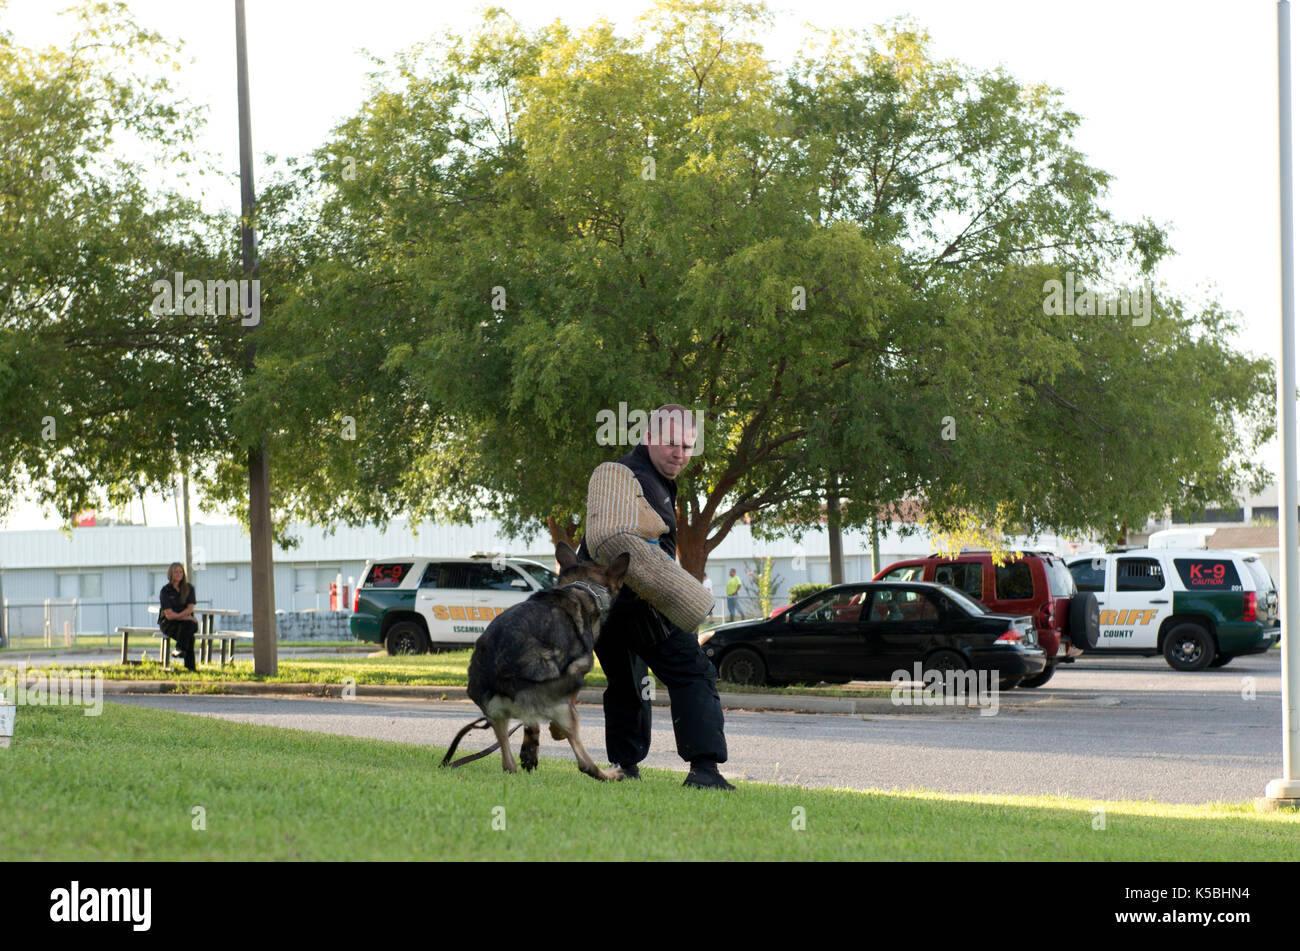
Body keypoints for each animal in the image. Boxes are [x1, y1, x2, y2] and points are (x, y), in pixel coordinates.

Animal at [441, 543, 634, 779]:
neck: (584, 587)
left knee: (509, 760)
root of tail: (500, 672)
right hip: (561, 701)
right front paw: (554, 733)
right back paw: (610, 774)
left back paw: (527, 755)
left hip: (498, 717)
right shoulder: (574, 671)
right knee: (583, 762)